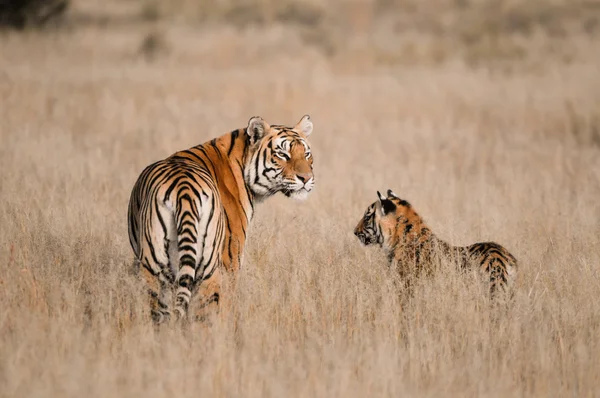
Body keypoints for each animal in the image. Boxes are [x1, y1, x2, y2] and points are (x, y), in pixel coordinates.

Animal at [129, 115, 316, 324]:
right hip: (210, 268)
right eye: (282, 154)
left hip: (154, 267)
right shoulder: (231, 260)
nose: (306, 178)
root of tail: (184, 190)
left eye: (307, 154)